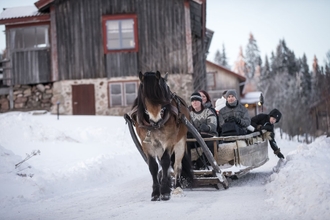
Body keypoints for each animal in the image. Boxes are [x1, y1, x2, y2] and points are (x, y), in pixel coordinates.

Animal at [130, 71, 192, 201]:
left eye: (161, 96)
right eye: (144, 96)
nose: (156, 119)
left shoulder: (169, 141)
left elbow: (165, 161)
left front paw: (164, 192)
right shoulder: (146, 143)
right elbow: (153, 166)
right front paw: (155, 193)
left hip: (180, 142)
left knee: (177, 165)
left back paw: (177, 187)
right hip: (158, 146)